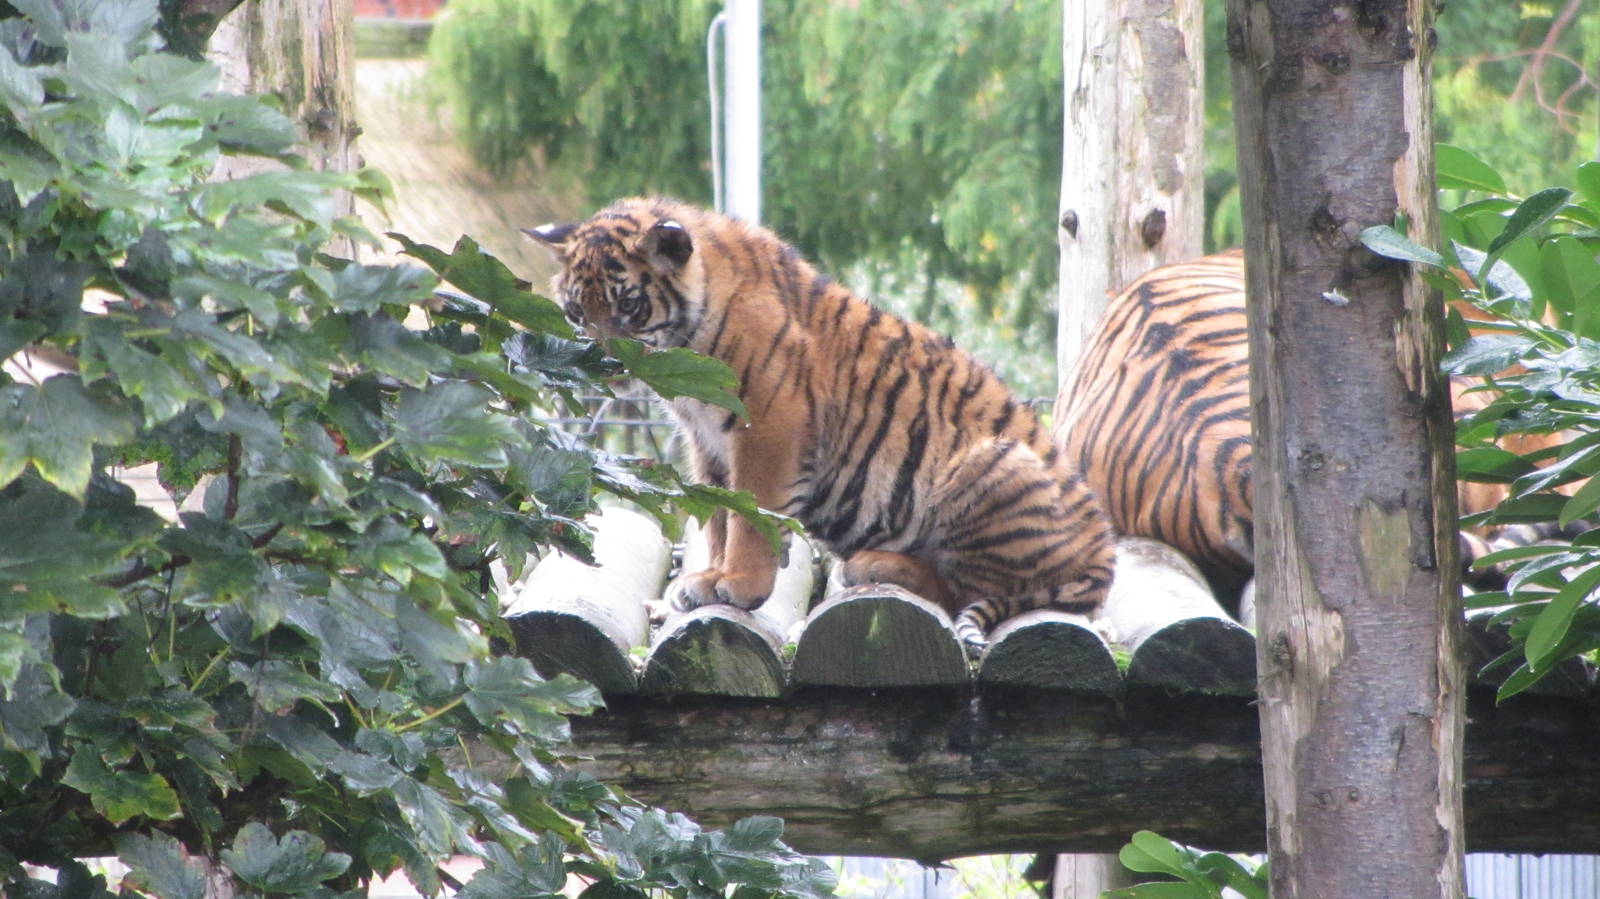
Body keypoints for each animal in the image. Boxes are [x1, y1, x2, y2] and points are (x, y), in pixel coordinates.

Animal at [525, 197, 1116, 651]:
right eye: (576, 313)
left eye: (629, 305)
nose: (605, 366)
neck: (685, 343)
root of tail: (1104, 558)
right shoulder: (705, 442)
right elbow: (717, 515)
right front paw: (708, 578)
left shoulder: (767, 424)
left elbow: (750, 514)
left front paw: (738, 583)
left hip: (992, 460)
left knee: (964, 591)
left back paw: (875, 567)